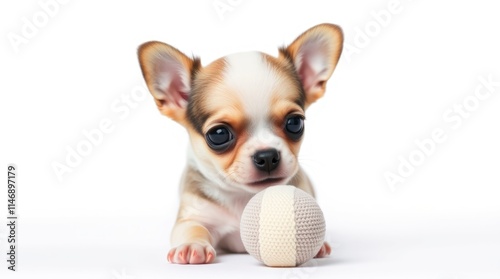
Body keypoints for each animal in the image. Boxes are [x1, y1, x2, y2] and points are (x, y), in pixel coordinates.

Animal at [139, 24, 346, 264]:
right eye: (218, 134)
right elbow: (192, 228)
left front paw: (318, 243)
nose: (267, 156)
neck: (242, 196)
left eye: (295, 123)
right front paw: (192, 245)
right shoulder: (194, 216)